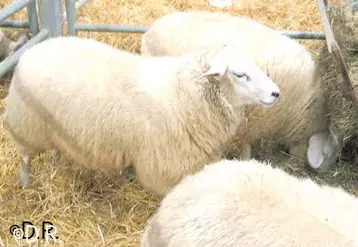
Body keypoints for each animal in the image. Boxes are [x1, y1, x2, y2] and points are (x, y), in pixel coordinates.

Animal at [4, 35, 282, 196]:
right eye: (239, 74)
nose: (276, 93)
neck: (185, 93)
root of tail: (36, 47)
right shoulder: (166, 164)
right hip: (25, 124)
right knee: (26, 157)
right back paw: (26, 182)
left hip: (49, 124)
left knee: (52, 146)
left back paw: (54, 159)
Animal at [141, 10, 340, 171]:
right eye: (329, 156)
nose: (324, 171)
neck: (305, 105)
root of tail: (149, 32)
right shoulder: (252, 122)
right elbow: (245, 147)